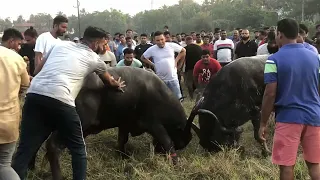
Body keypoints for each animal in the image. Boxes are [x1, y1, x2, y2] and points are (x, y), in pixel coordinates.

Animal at [30, 67, 192, 179]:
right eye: (181, 136)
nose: (158, 151)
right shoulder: (154, 124)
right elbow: (167, 141)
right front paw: (176, 163)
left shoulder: (125, 123)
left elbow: (122, 140)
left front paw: (122, 156)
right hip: (76, 124)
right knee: (52, 145)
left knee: (34, 142)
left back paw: (32, 168)